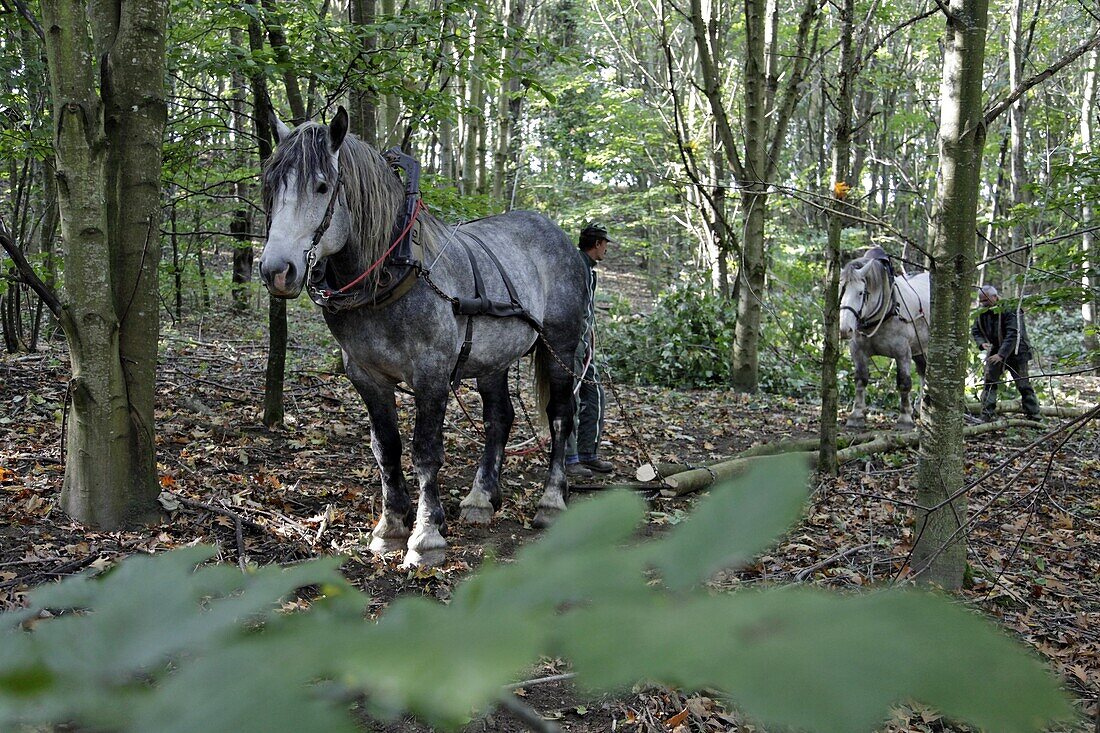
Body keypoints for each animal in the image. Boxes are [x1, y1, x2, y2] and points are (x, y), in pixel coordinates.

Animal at [258, 107, 589, 563]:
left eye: (322, 186)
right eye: (271, 185)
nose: (277, 270)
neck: (390, 272)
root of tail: (555, 232)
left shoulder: (431, 375)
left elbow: (425, 452)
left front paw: (426, 534)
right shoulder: (367, 377)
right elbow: (386, 449)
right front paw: (391, 527)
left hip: (560, 345)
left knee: (560, 416)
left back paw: (551, 501)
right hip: (493, 358)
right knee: (499, 417)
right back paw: (480, 498)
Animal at [840, 256, 928, 429]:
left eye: (860, 292)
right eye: (842, 289)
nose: (846, 329)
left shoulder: (902, 352)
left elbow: (904, 382)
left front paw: (904, 418)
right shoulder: (857, 350)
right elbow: (860, 380)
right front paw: (856, 415)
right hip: (918, 347)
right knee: (923, 370)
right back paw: (920, 408)